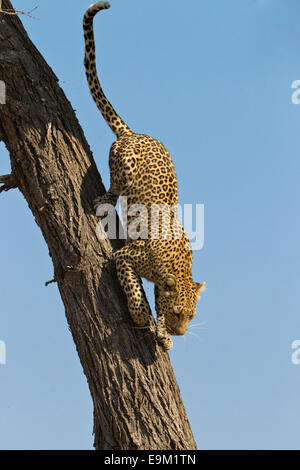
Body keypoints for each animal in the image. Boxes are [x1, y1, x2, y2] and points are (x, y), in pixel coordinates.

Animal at [84, 1, 206, 350]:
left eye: (191, 316)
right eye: (180, 313)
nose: (181, 332)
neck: (176, 268)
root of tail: (134, 132)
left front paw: (162, 335)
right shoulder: (125, 258)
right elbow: (136, 292)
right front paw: (142, 318)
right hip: (122, 164)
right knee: (115, 184)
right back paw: (104, 197)